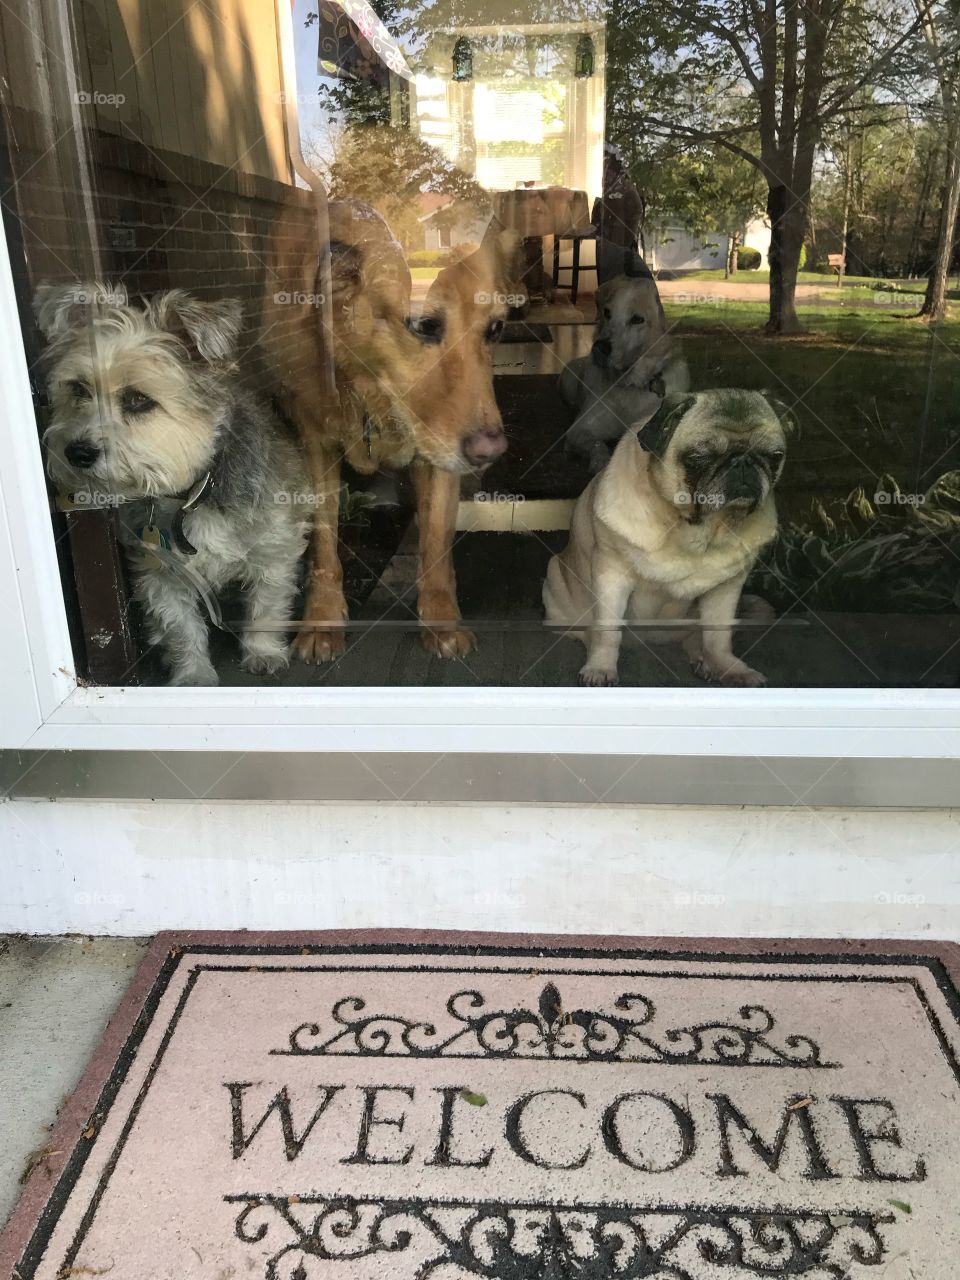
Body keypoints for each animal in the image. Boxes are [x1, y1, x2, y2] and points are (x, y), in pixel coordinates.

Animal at [263, 200, 519, 665]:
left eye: (495, 329)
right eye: (423, 325)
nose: (490, 451)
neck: (369, 386)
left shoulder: (436, 458)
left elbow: (435, 541)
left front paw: (441, 620)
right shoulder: (315, 444)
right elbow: (323, 543)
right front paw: (322, 620)